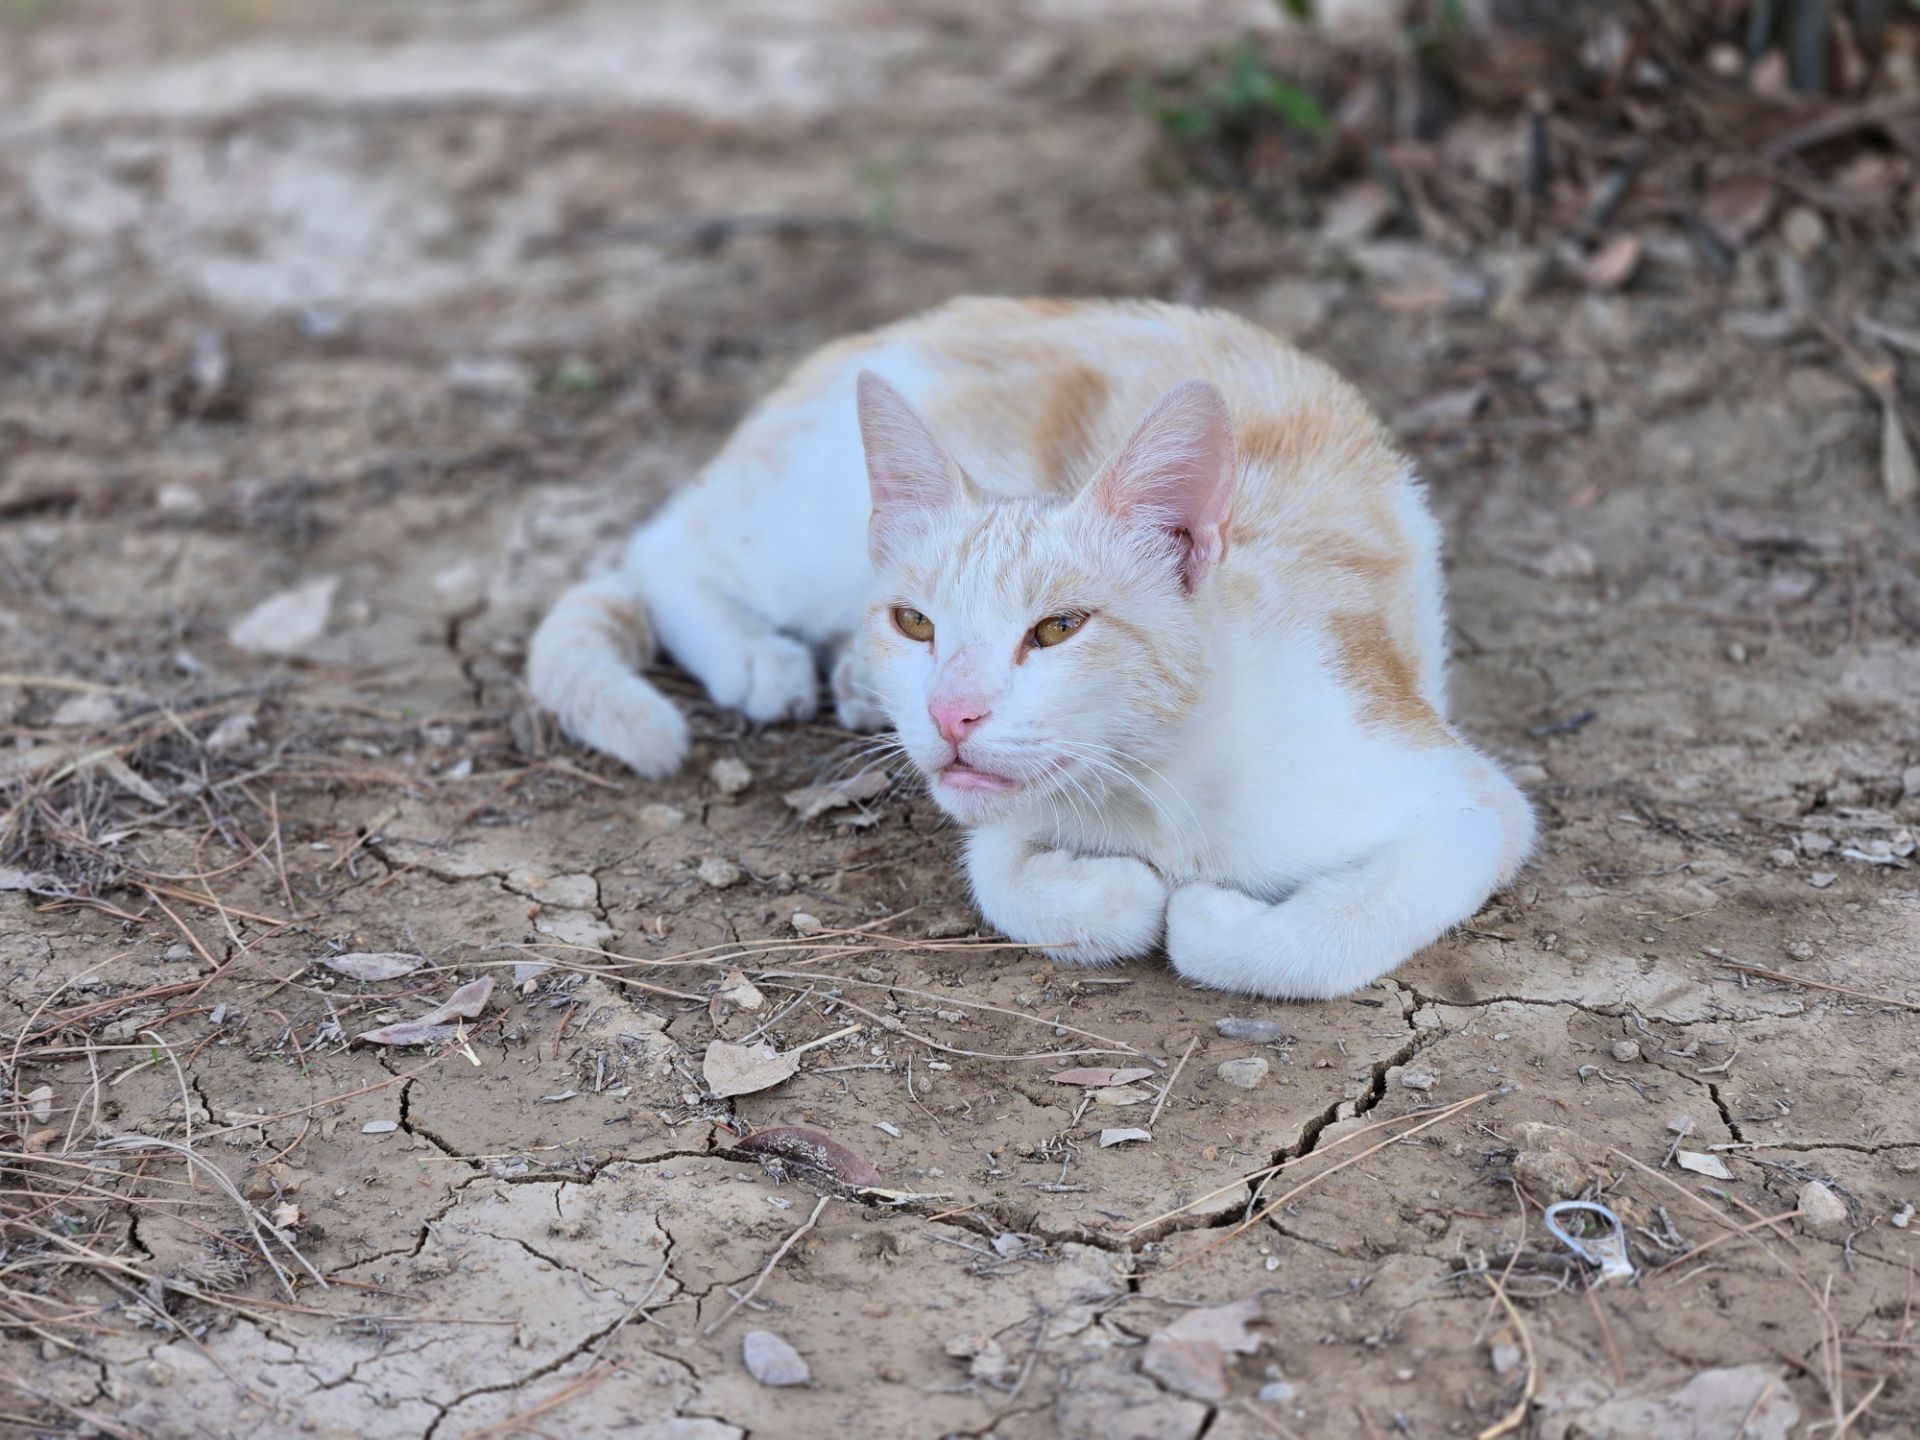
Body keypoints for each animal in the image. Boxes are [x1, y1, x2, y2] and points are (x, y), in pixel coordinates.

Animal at [526, 301, 1528, 1006]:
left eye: (1057, 629)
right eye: (916, 624)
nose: (948, 712)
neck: (1155, 782)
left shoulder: (1472, 806)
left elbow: (1323, 933)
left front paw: (1208, 912)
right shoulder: (999, 813)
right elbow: (1003, 875)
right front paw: (1126, 895)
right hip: (801, 529)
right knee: (667, 544)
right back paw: (755, 657)